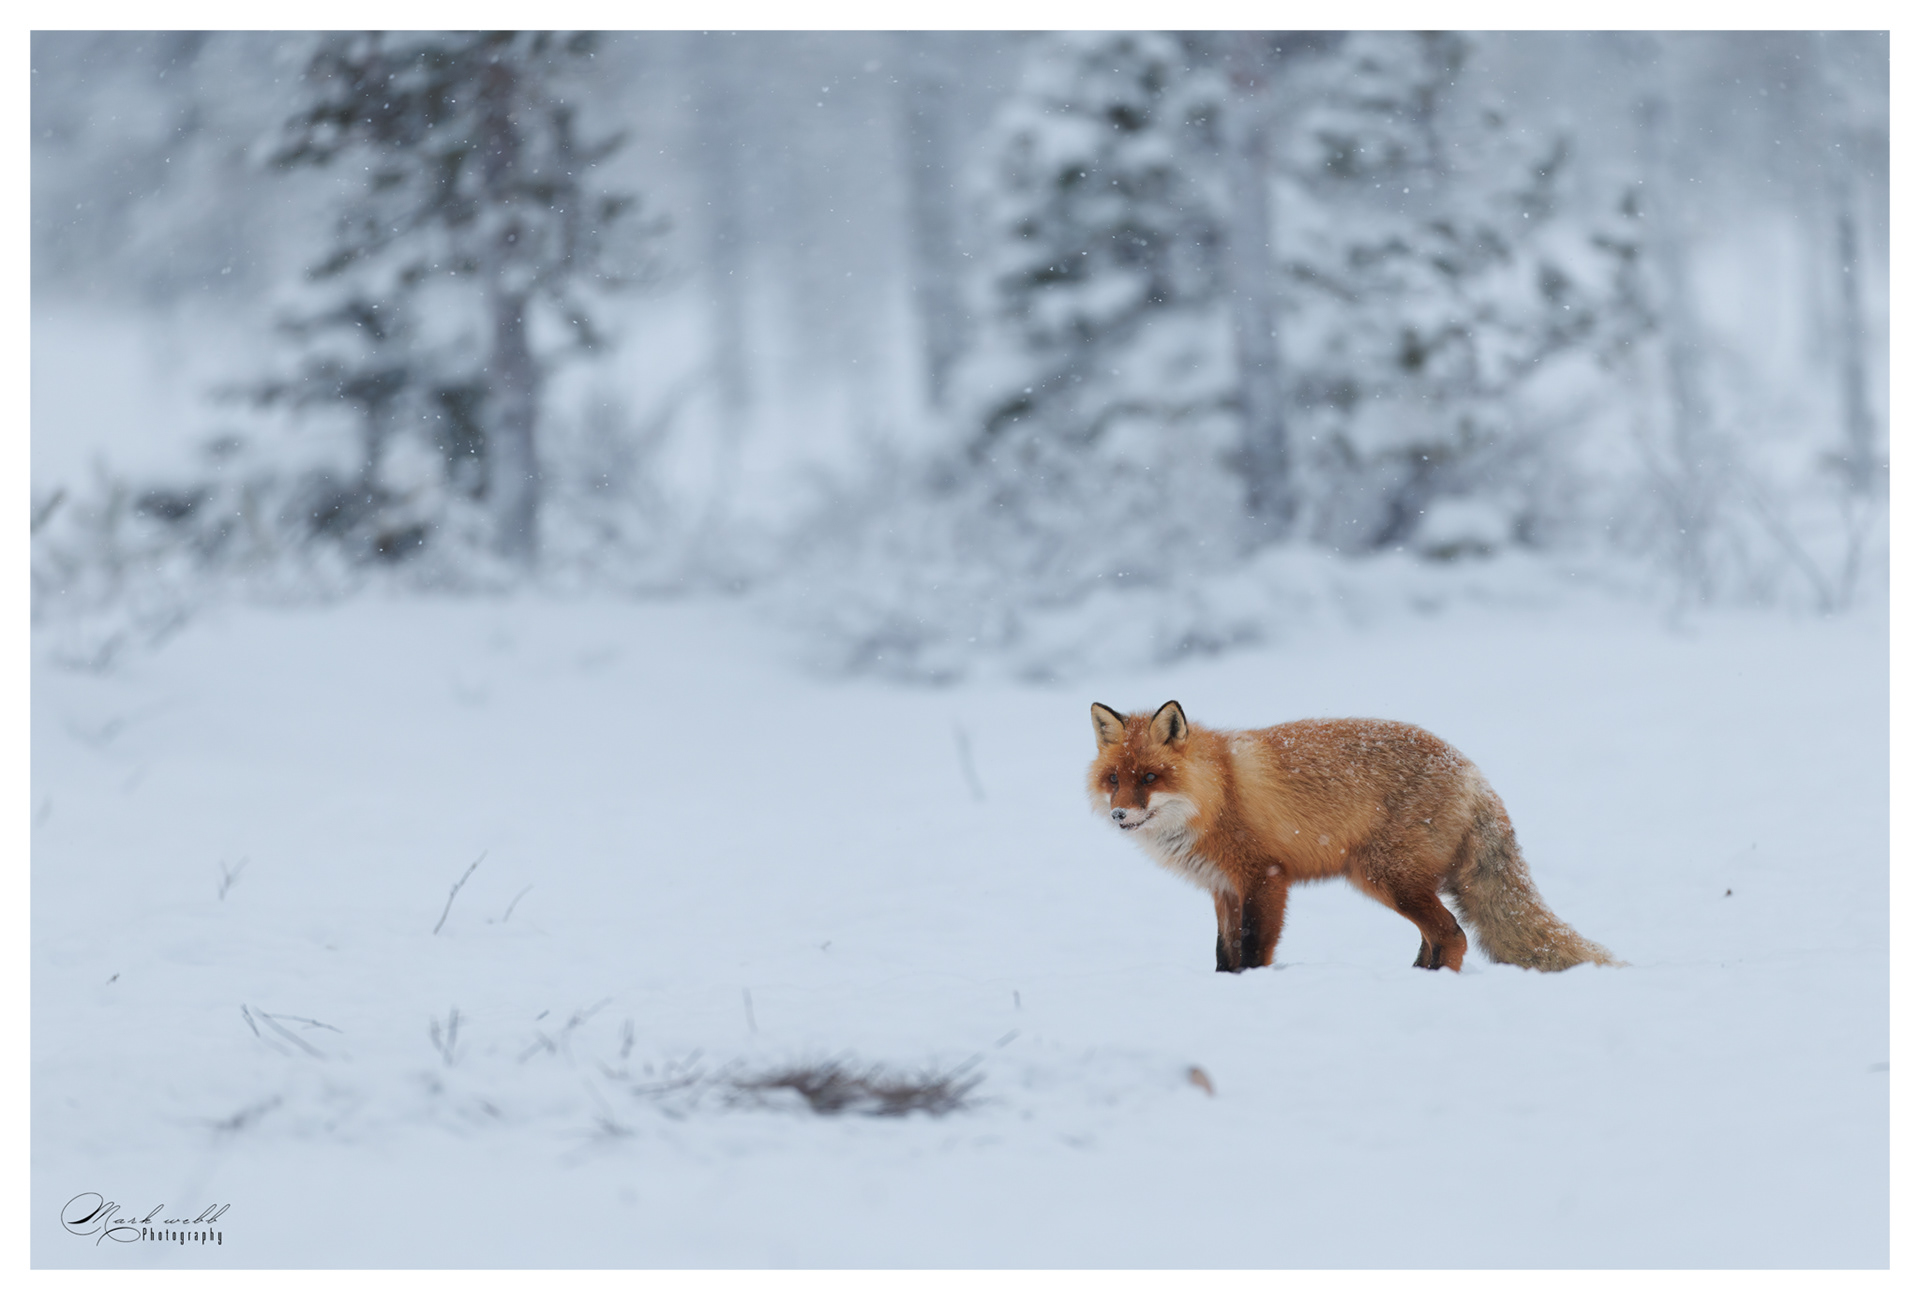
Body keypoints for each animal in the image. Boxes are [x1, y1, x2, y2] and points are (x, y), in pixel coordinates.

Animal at [1088, 700, 1618, 973]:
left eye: (1151, 778)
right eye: (1114, 778)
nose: (1118, 814)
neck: (1217, 791)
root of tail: (1472, 770)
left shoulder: (1266, 878)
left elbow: (1254, 948)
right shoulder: (1223, 888)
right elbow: (1224, 952)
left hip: (1384, 876)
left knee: (1454, 935)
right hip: (1401, 880)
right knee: (1436, 936)